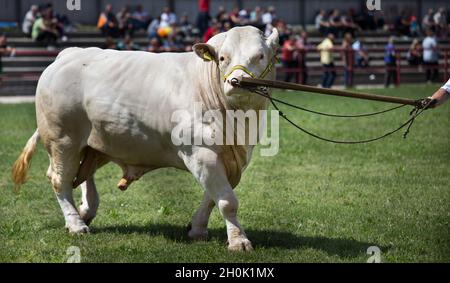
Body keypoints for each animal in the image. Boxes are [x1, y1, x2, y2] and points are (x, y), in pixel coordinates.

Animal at [12, 26, 280, 253]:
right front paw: (239, 241)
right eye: (223, 58)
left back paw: (86, 210)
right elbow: (226, 201)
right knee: (60, 179)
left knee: (84, 173)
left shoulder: (235, 157)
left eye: (260, 56)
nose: (237, 82)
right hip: (62, 138)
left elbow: (212, 197)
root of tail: (69, 54)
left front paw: (197, 229)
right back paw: (77, 224)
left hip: (95, 140)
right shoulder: (200, 153)